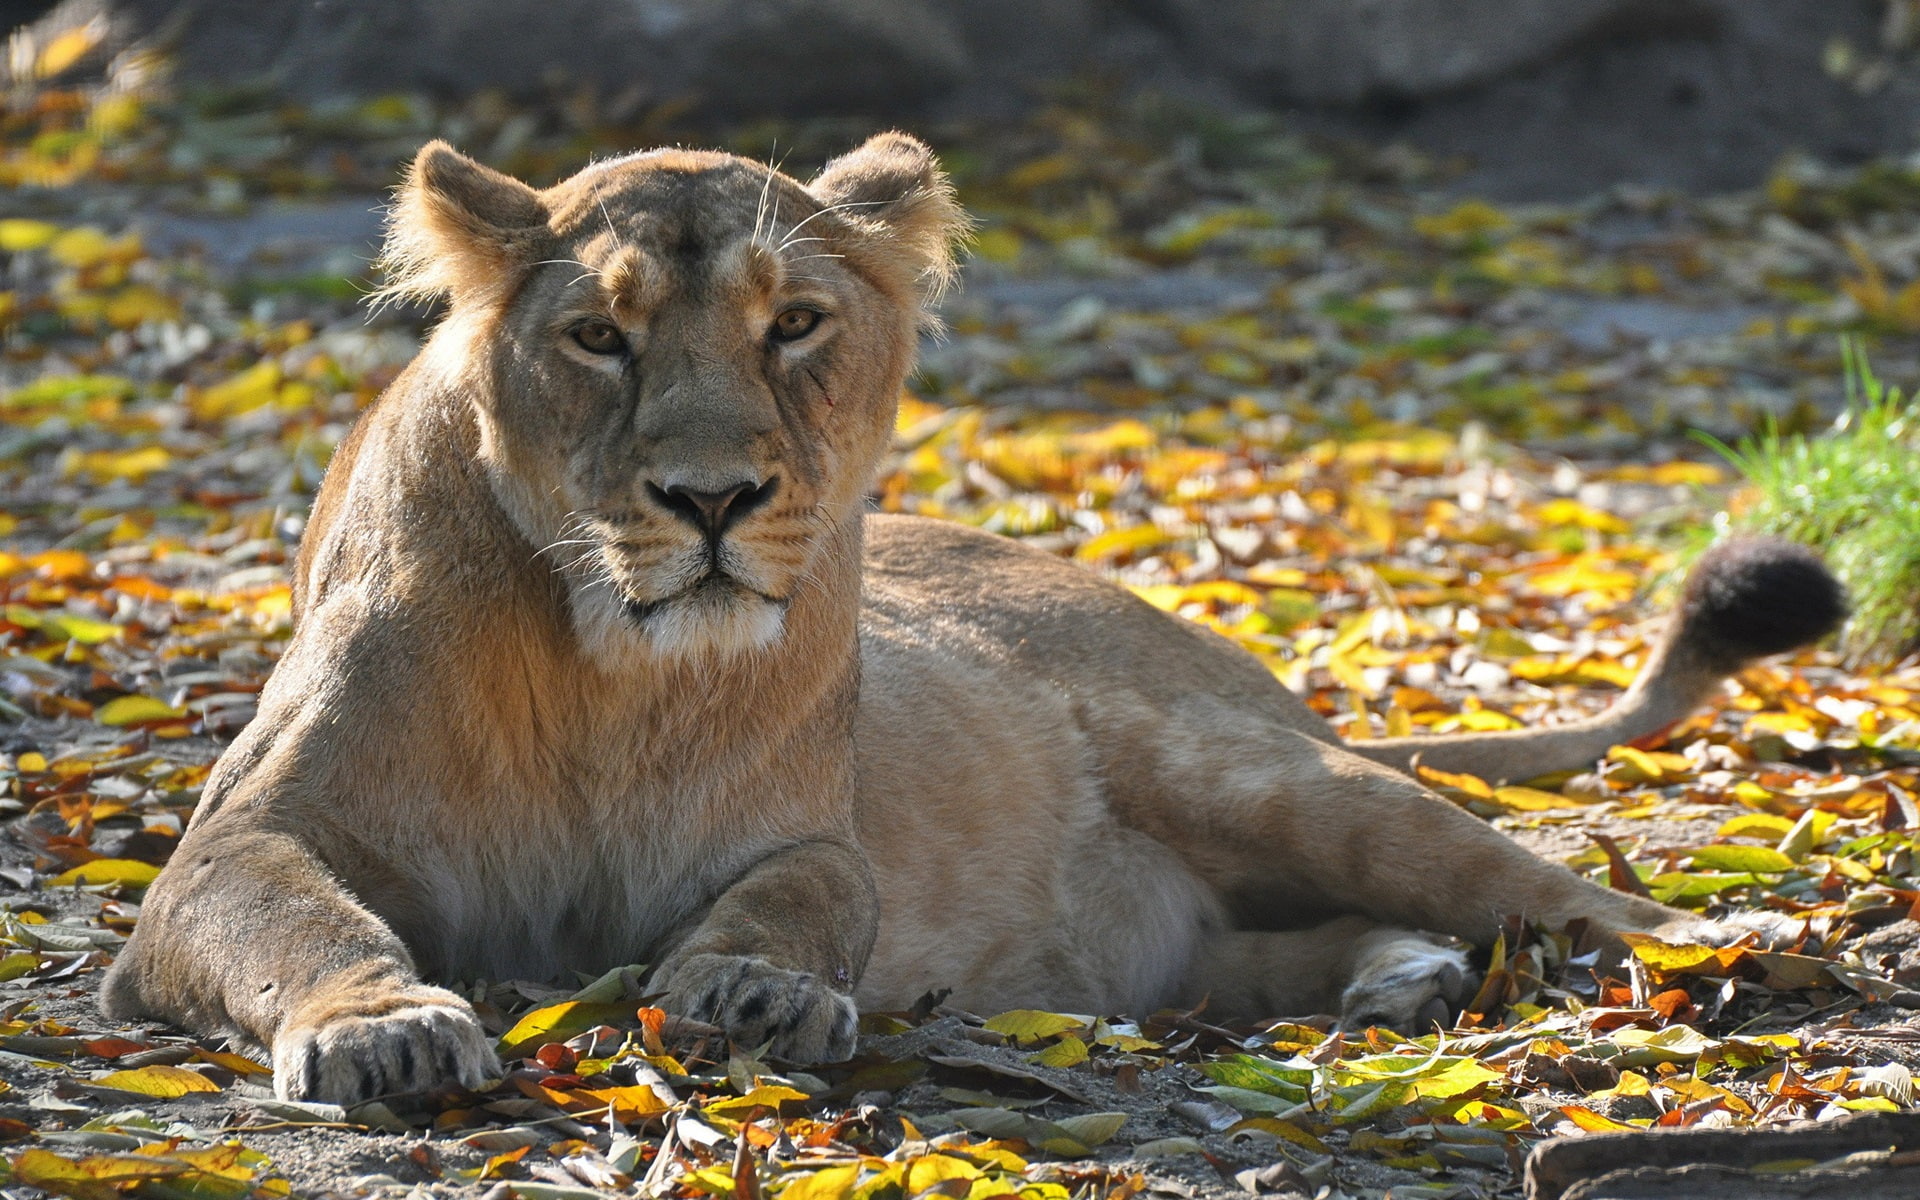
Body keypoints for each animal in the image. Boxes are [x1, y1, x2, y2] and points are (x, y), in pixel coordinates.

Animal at [100, 133, 1845, 1105]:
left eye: (795, 324)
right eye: (599, 336)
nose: (713, 498)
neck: (613, 673)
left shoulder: (804, 837)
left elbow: (804, 901)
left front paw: (751, 994)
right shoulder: (233, 845)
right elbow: (302, 919)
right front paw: (383, 1030)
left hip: (1266, 779)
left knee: (1570, 896)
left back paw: (1747, 951)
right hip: (1173, 932)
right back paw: (1399, 980)